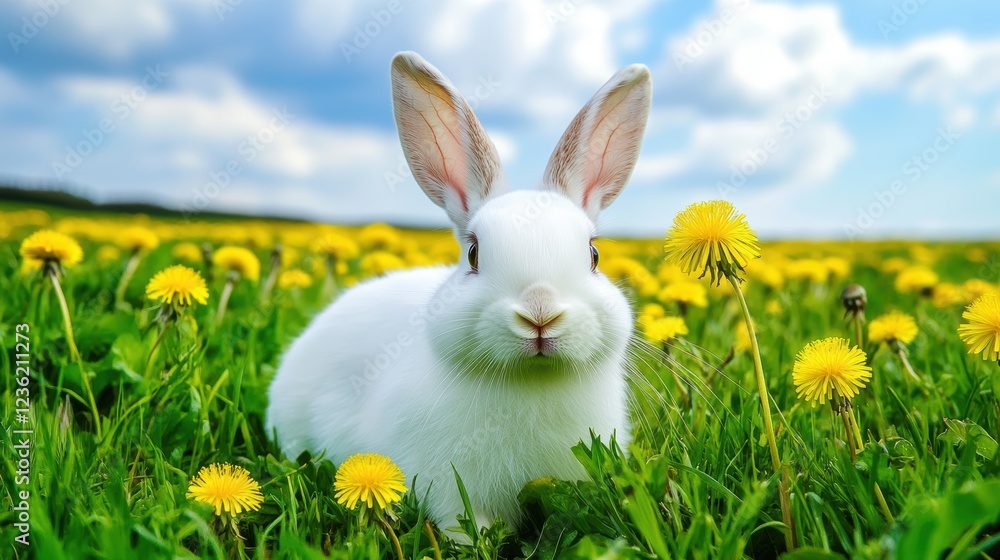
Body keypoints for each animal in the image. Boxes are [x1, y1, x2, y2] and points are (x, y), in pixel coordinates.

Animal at [265, 51, 652, 532]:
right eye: (473, 253)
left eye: (594, 255)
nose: (540, 312)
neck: (530, 380)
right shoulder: (449, 491)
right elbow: (464, 525)